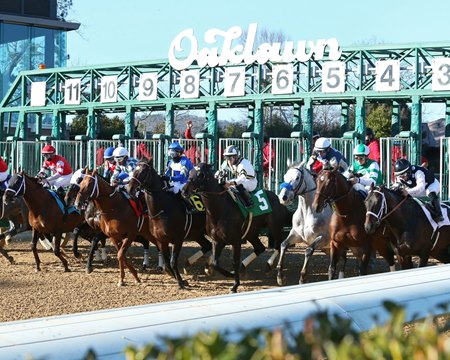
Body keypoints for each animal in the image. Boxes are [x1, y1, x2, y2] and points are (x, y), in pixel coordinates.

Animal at [125, 159, 213, 288]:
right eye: (133, 170)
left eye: (143, 172)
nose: (129, 189)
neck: (163, 209)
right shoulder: (161, 240)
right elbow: (166, 263)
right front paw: (178, 277)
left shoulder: (178, 239)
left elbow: (172, 261)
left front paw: (181, 282)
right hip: (197, 233)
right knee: (207, 245)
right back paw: (191, 265)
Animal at [181, 163, 294, 292]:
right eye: (190, 172)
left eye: (201, 174)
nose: (184, 190)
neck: (220, 209)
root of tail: (279, 199)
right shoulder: (217, 240)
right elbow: (215, 263)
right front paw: (229, 274)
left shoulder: (235, 240)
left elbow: (234, 262)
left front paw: (235, 284)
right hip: (251, 232)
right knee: (260, 248)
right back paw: (245, 267)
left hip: (274, 226)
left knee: (279, 245)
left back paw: (274, 271)